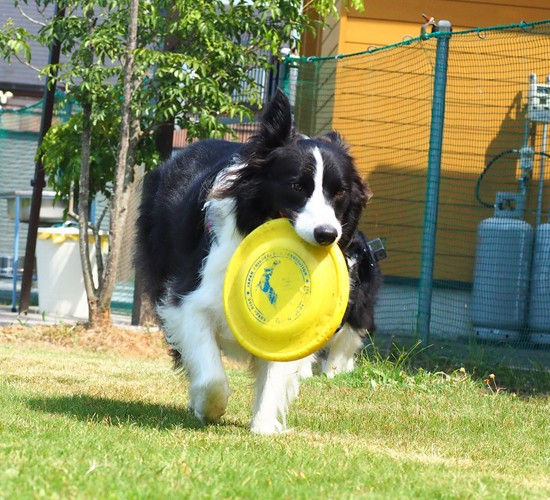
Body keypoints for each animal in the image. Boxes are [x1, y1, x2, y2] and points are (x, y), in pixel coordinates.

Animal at [137, 90, 376, 434]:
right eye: (296, 186)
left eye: (340, 191)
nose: (327, 234)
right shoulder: (189, 298)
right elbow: (211, 374)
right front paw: (210, 408)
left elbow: (276, 372)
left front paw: (263, 428)